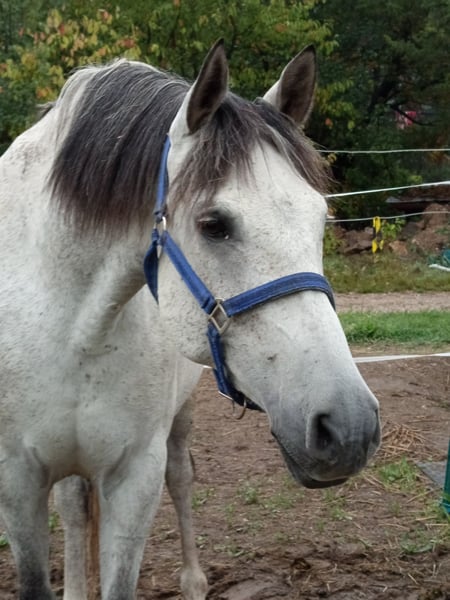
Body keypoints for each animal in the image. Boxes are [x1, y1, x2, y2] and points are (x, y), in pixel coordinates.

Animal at [0, 40, 380, 599]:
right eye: (214, 224)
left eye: (320, 219)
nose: (349, 427)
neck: (71, 326)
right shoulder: (18, 481)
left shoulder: (136, 476)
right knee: (73, 507)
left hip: (178, 426)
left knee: (181, 480)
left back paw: (194, 581)